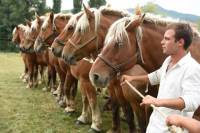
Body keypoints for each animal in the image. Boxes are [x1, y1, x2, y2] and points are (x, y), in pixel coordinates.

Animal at [62, 5, 142, 133]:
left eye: (75, 29)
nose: (64, 54)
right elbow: (88, 98)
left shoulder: (88, 80)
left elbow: (91, 100)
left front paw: (95, 124)